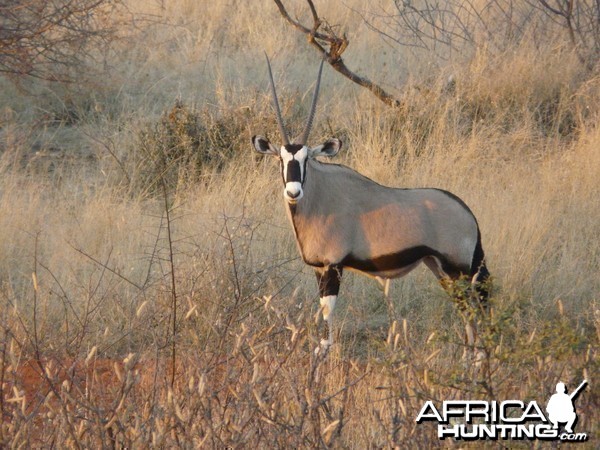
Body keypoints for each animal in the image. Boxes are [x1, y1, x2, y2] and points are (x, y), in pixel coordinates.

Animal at [251, 57, 490, 352]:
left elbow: (328, 322)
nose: (293, 191)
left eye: (307, 159)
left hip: (457, 269)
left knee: (474, 312)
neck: (320, 196)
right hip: (440, 268)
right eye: (280, 160)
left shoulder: (334, 266)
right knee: (468, 315)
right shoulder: (319, 269)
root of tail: (468, 214)